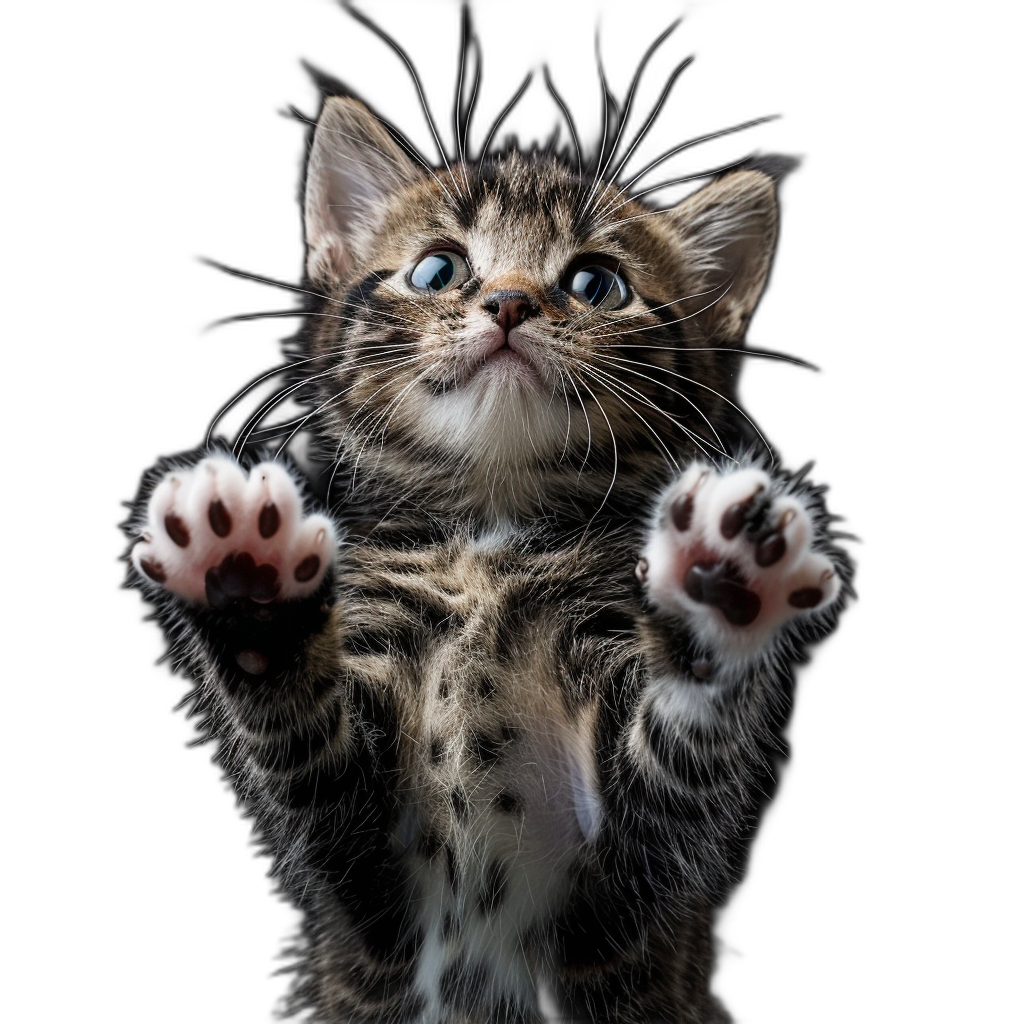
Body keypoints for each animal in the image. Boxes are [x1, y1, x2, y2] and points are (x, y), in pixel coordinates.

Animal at [132, 92, 843, 1019]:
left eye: (595, 283)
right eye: (439, 269)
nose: (508, 303)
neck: (490, 536)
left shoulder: (615, 912)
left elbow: (672, 777)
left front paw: (721, 590)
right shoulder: (371, 900)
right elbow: (307, 752)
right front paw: (243, 577)